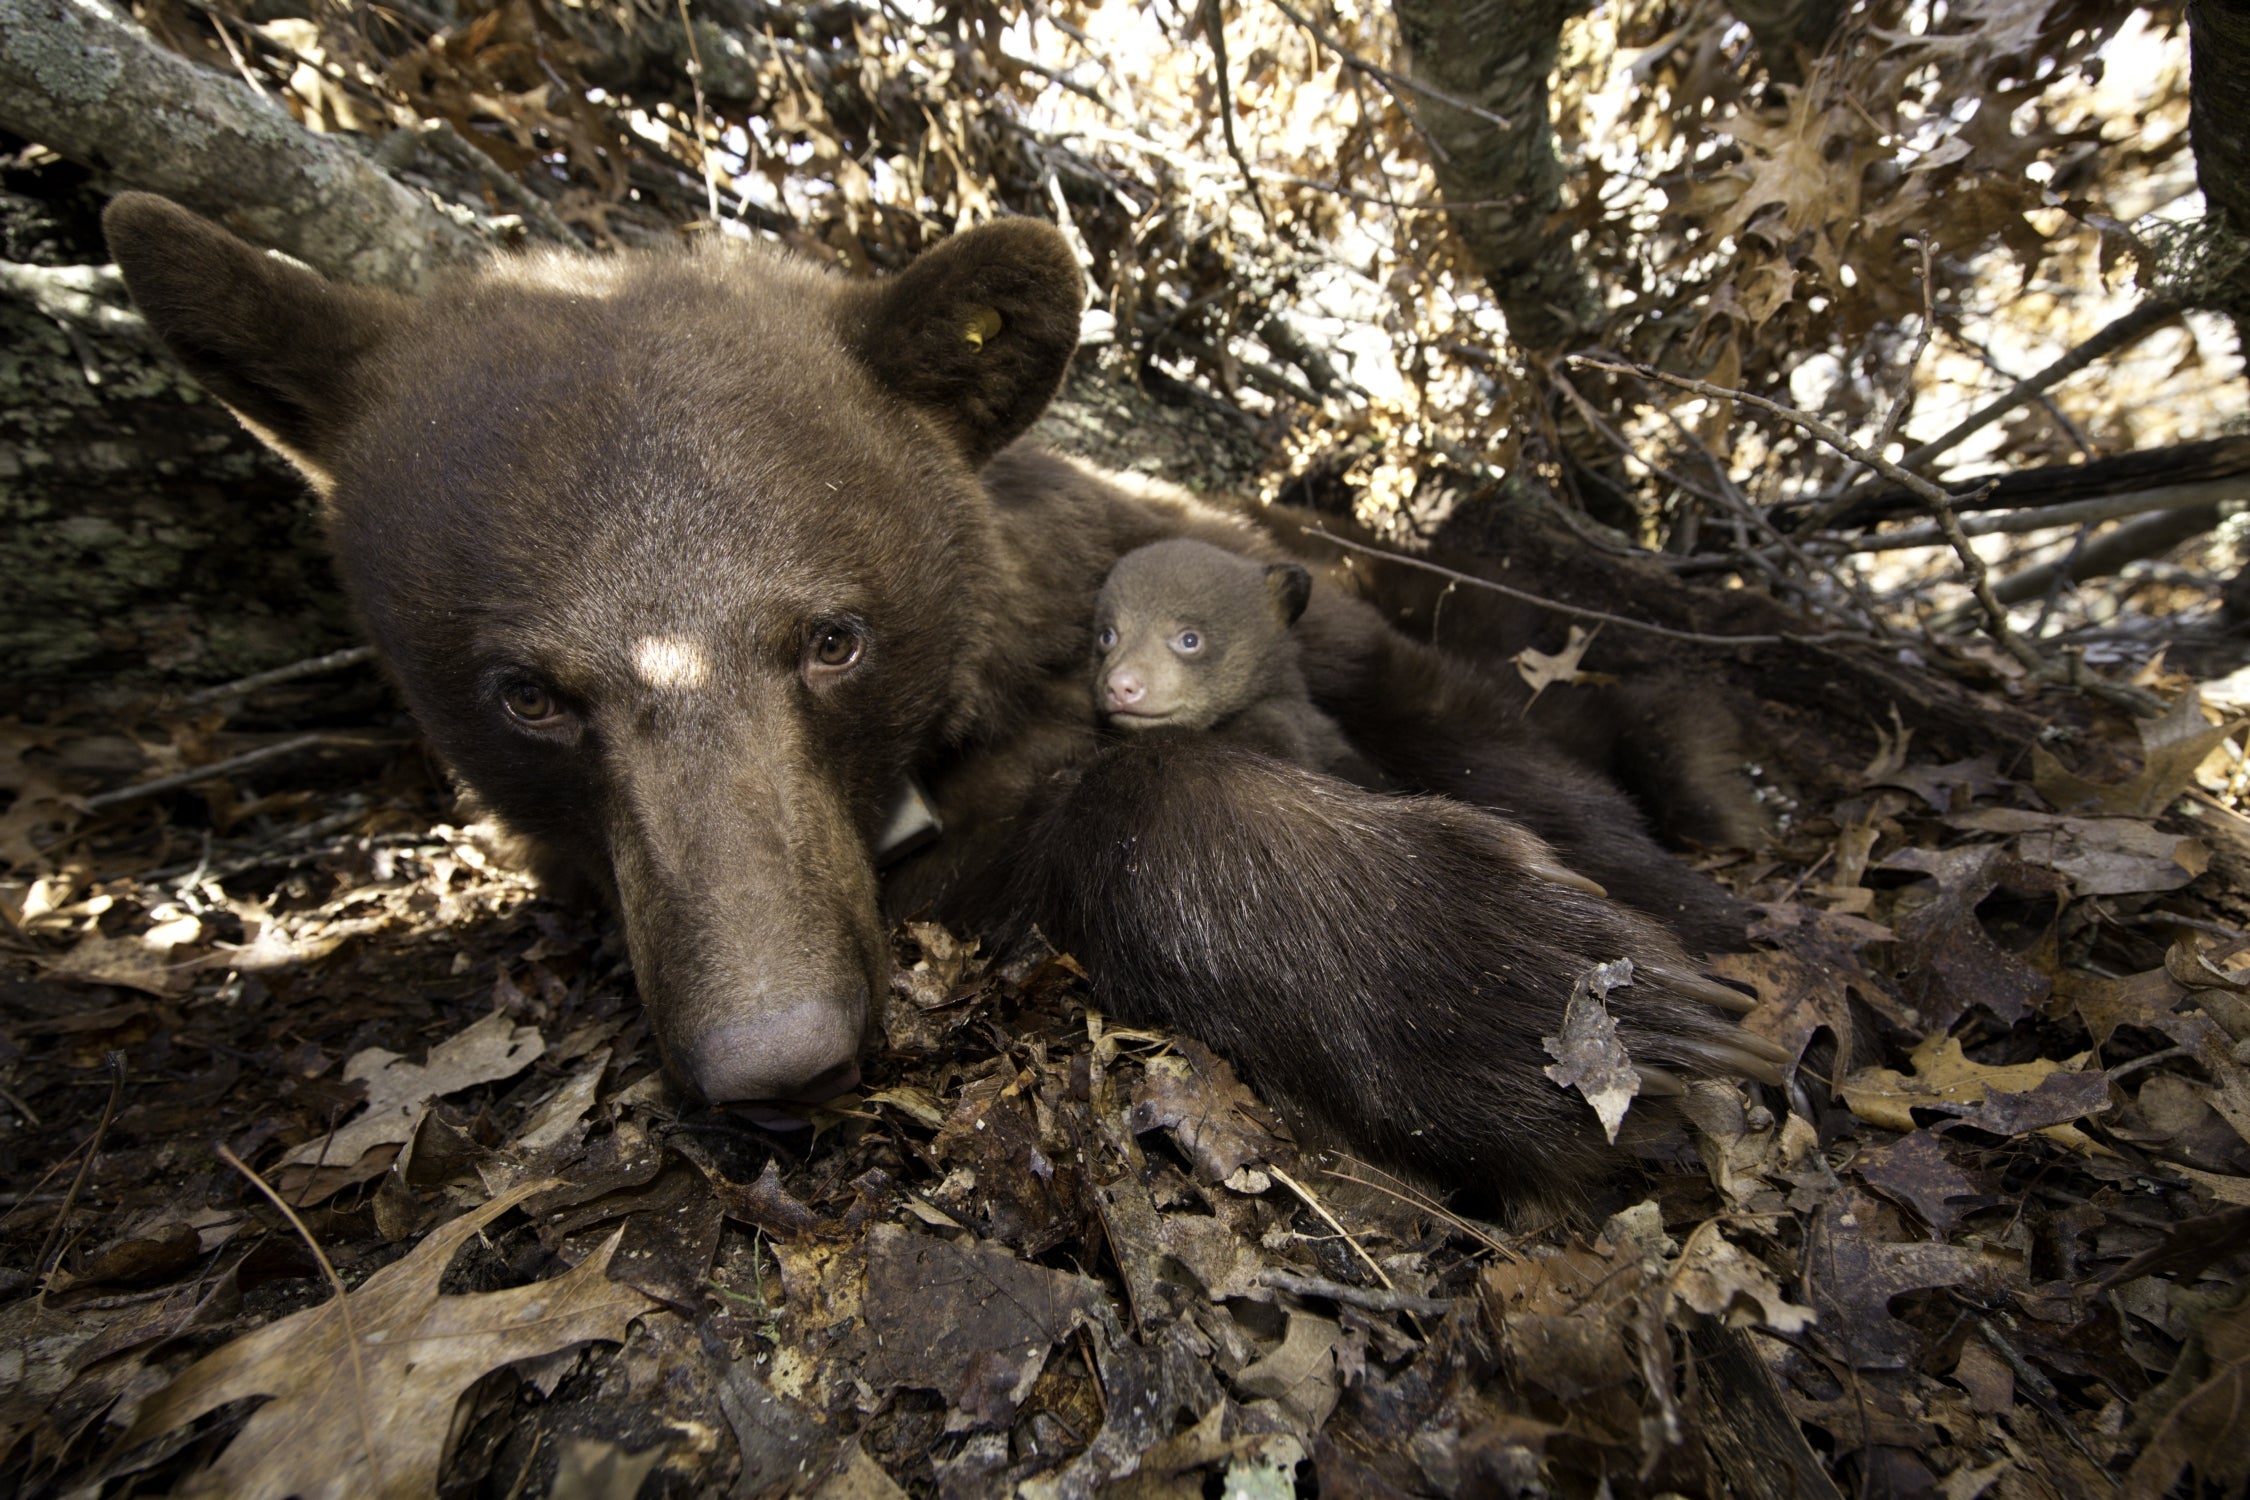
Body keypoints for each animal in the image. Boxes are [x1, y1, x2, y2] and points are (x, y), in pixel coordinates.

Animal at [105, 196, 1782, 1205]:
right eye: (525, 695)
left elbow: (1439, 703)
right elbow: (1060, 826)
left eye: (833, 639)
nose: (775, 1053)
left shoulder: (1170, 560)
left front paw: (1650, 945)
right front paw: (1496, 986)